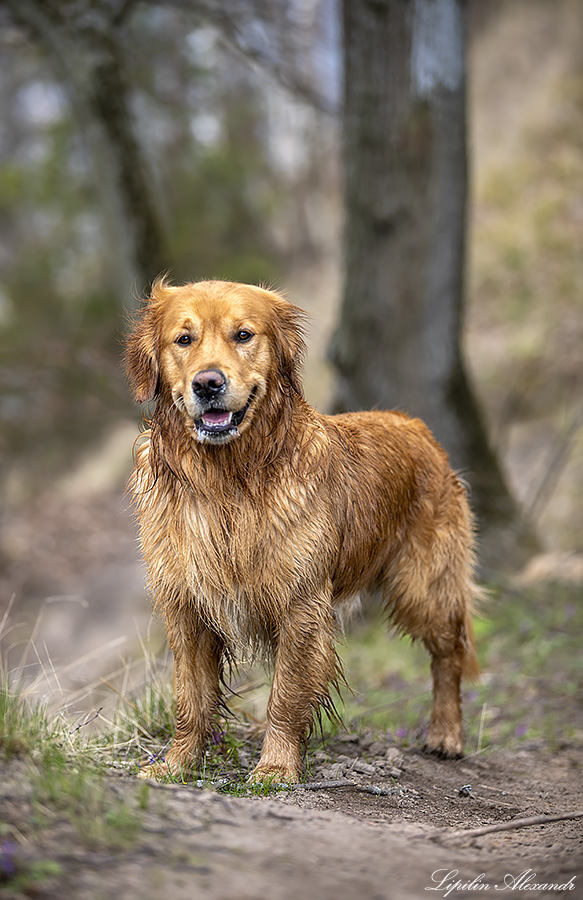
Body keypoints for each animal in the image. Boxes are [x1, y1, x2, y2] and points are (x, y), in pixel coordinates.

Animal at [126, 280, 480, 780]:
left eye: (243, 335)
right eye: (183, 339)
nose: (208, 383)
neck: (228, 479)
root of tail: (412, 423)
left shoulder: (300, 604)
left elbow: (286, 694)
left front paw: (276, 768)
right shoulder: (186, 604)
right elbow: (189, 696)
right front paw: (176, 764)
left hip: (425, 584)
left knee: (449, 653)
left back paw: (446, 734)